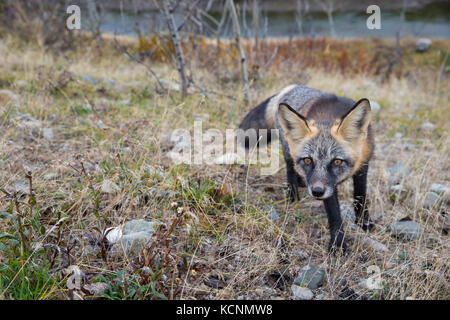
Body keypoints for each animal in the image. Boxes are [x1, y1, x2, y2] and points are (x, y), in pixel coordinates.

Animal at [241, 84, 374, 252]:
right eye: (308, 160)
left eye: (337, 162)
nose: (316, 192)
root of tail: (290, 87)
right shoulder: (326, 187)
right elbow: (334, 214)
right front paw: (337, 244)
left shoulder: (363, 165)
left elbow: (360, 195)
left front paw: (364, 222)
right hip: (288, 149)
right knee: (290, 169)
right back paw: (293, 195)